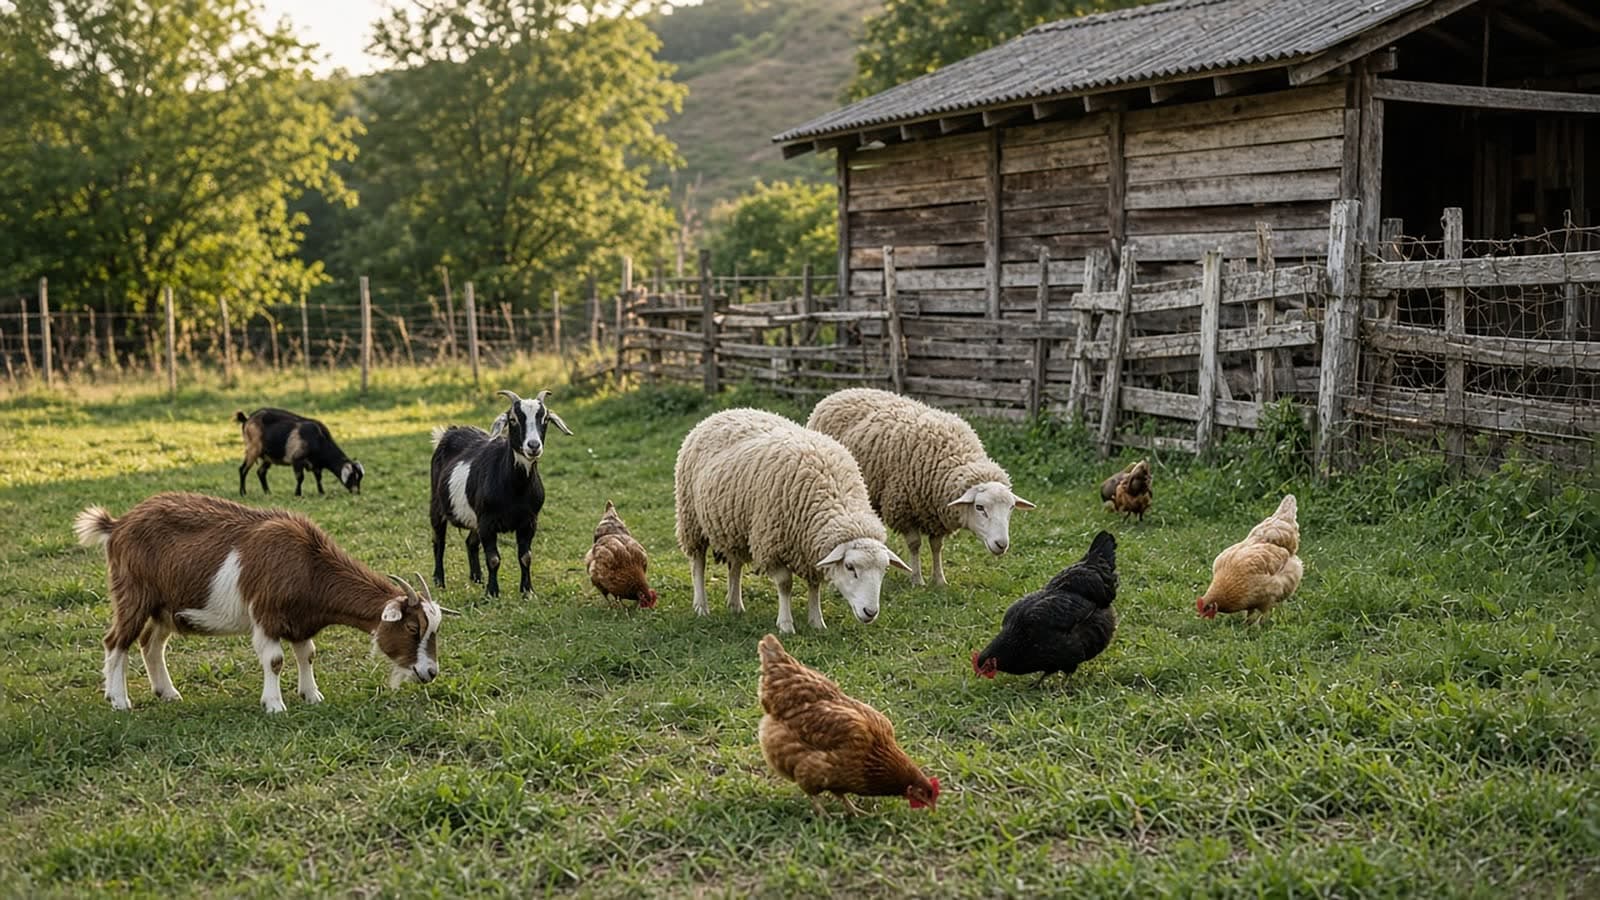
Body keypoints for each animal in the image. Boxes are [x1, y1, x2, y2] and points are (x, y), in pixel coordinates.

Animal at [73, 491, 453, 713]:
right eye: (413, 627)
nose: (430, 672)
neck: (309, 564)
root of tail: (117, 525)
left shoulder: (300, 621)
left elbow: (307, 654)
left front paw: (311, 695)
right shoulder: (267, 615)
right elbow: (275, 660)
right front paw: (275, 704)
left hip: (165, 608)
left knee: (150, 644)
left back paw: (167, 693)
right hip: (133, 595)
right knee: (116, 641)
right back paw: (119, 700)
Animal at [236, 408, 364, 497]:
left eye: (359, 478)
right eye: (352, 476)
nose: (357, 492)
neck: (319, 439)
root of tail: (247, 419)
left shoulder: (316, 464)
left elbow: (319, 478)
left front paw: (321, 492)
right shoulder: (297, 459)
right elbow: (300, 477)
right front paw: (298, 494)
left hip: (268, 457)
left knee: (260, 472)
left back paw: (268, 492)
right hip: (253, 449)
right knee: (243, 469)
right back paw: (243, 493)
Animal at [430, 389, 572, 597]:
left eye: (545, 419)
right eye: (513, 419)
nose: (533, 446)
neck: (516, 489)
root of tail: (450, 432)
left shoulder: (529, 521)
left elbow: (526, 557)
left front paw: (528, 592)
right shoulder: (487, 522)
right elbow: (494, 559)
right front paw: (492, 593)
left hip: (475, 517)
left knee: (470, 542)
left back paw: (477, 578)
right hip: (437, 504)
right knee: (439, 541)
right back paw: (439, 581)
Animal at [674, 408, 911, 634]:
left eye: (885, 569)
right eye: (850, 567)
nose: (870, 612)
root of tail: (723, 413)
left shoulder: (810, 548)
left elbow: (814, 585)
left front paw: (817, 622)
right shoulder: (772, 545)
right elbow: (785, 584)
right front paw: (786, 625)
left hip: (734, 525)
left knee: (736, 564)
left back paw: (735, 605)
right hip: (691, 519)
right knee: (698, 563)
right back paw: (701, 606)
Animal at [806, 388, 1035, 587]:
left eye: (1011, 508)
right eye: (980, 508)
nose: (1002, 545)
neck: (953, 457)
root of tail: (840, 392)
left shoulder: (936, 512)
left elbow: (936, 547)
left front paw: (939, 580)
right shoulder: (904, 507)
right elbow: (915, 545)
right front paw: (917, 580)